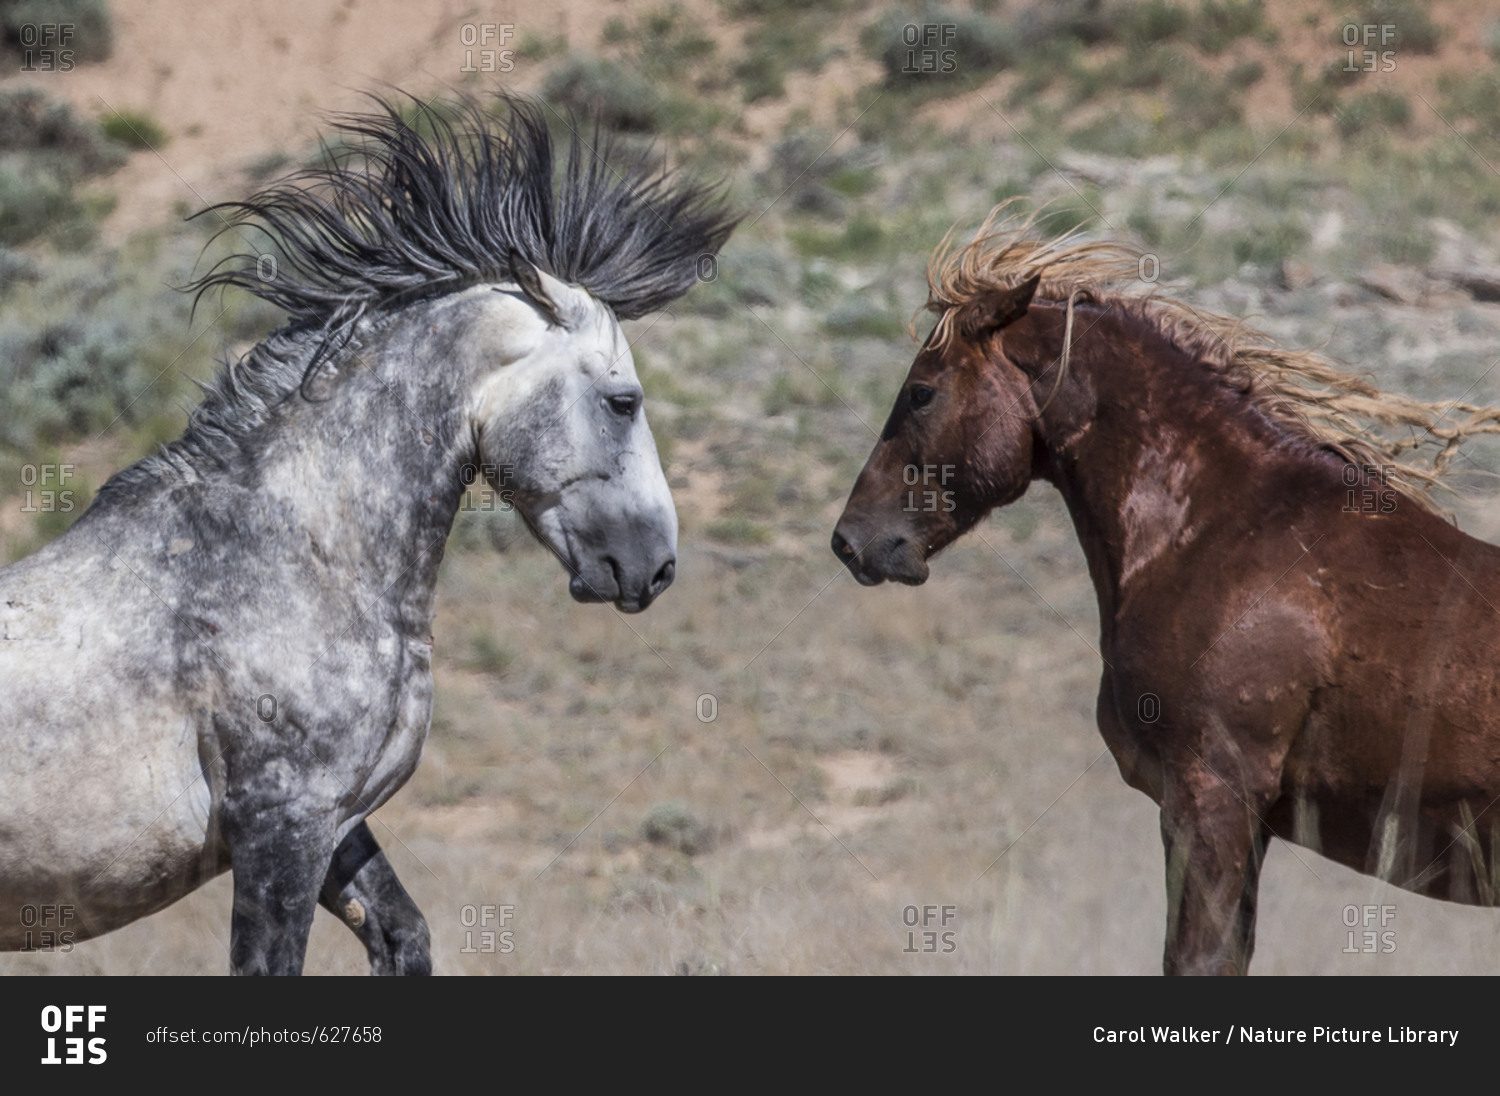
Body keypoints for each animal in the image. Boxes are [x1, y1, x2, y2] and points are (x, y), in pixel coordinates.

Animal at [0, 98, 738, 971]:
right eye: (624, 400)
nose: (653, 565)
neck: (304, 557)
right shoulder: (282, 826)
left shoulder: (338, 823)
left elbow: (404, 935)